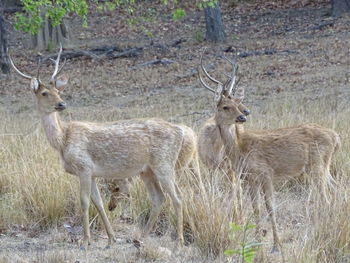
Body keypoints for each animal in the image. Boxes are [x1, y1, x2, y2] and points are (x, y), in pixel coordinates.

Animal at [8, 46, 189, 251]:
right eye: (44, 93)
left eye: (57, 90)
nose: (62, 104)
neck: (63, 141)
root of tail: (180, 131)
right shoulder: (92, 173)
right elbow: (99, 203)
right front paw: (111, 239)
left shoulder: (84, 166)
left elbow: (84, 202)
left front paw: (85, 241)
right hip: (147, 170)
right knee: (159, 198)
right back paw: (141, 238)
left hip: (164, 162)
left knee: (178, 196)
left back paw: (178, 243)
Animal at [198, 53, 340, 252]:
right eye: (226, 106)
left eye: (237, 103)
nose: (243, 116)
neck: (239, 150)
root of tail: (336, 137)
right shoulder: (250, 179)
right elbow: (256, 208)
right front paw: (257, 241)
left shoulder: (265, 173)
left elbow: (270, 207)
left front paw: (276, 245)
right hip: (323, 166)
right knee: (336, 189)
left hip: (317, 166)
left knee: (326, 198)